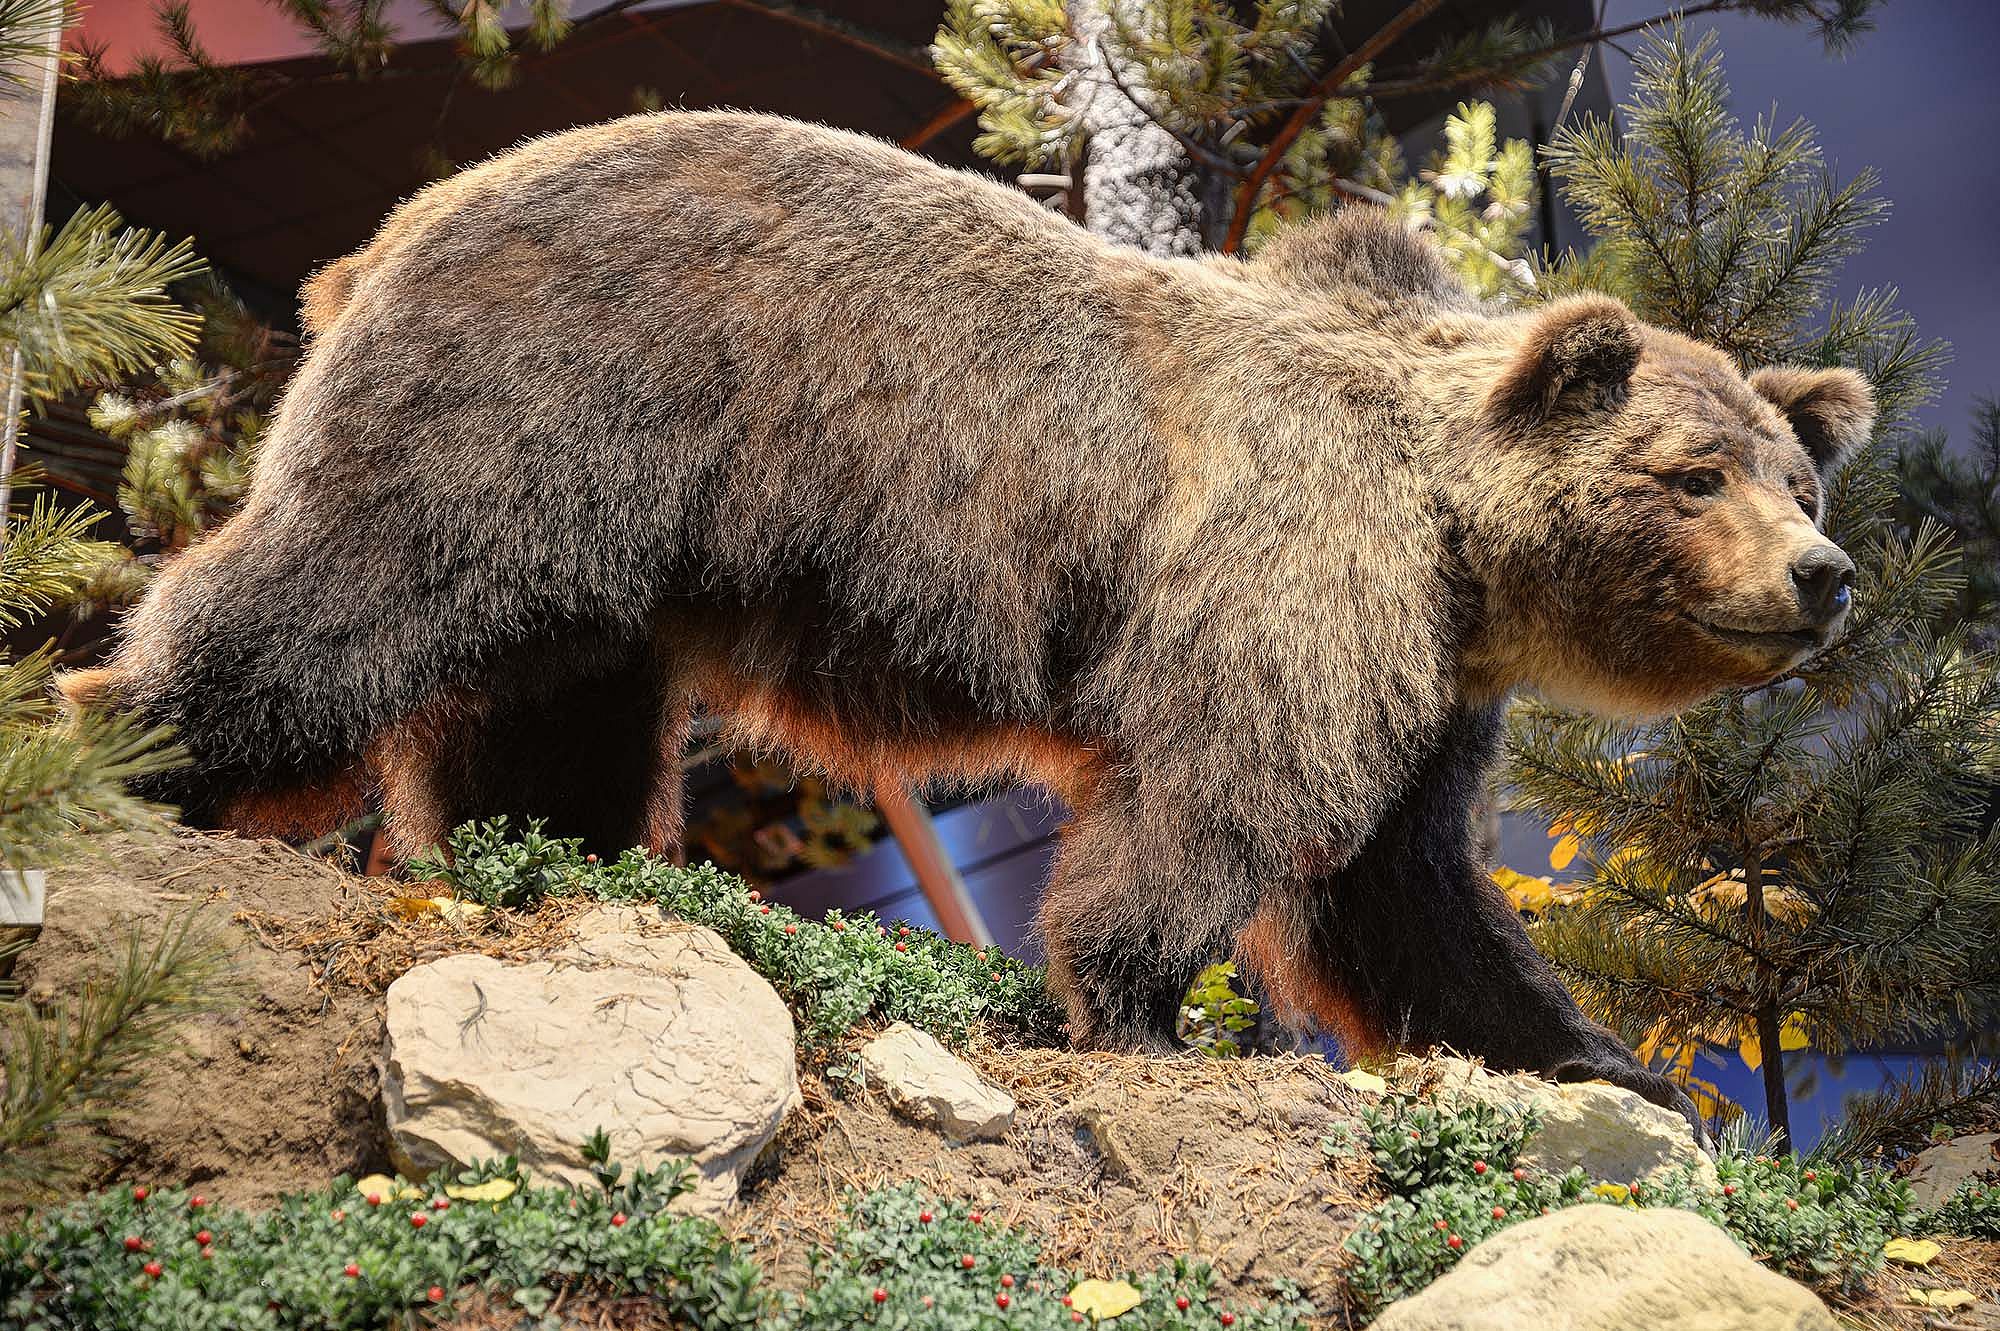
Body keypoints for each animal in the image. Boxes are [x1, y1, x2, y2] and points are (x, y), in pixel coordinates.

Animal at [61, 111, 1874, 1128]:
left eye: (1799, 474)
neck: (1455, 547)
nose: (1826, 576)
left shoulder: (1430, 684)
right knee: (337, 595)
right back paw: (129, 751)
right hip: (546, 398)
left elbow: (1408, 890)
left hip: (604, 537)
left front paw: (1615, 1064)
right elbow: (1221, 807)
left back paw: (560, 862)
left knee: (551, 707)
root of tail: (384, 232)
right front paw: (1154, 1016)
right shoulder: (1296, 576)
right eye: (1694, 473)